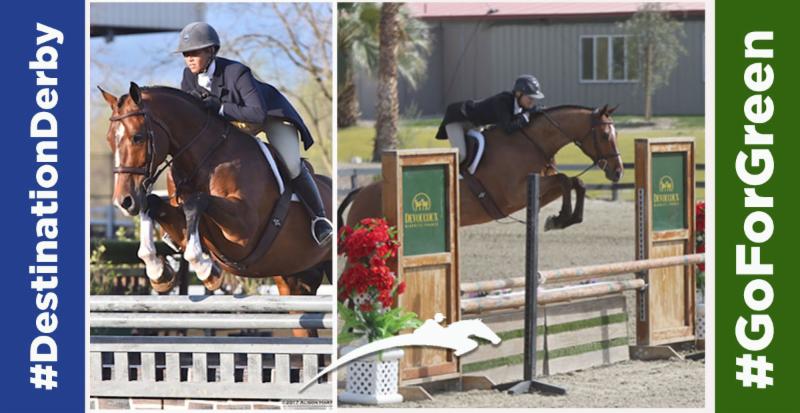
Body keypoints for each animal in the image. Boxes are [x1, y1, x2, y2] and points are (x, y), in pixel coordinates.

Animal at [99, 83, 332, 335]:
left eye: (138, 137)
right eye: (109, 139)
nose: (124, 201)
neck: (203, 161)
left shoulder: (243, 232)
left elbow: (196, 202)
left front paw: (205, 269)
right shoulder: (180, 221)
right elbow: (153, 204)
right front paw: (159, 272)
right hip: (294, 279)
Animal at [339, 104, 623, 230]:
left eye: (616, 134)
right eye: (605, 135)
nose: (618, 171)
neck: (531, 142)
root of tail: (361, 192)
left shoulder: (538, 189)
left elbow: (575, 182)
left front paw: (565, 219)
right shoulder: (514, 194)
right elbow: (565, 179)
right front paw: (561, 217)